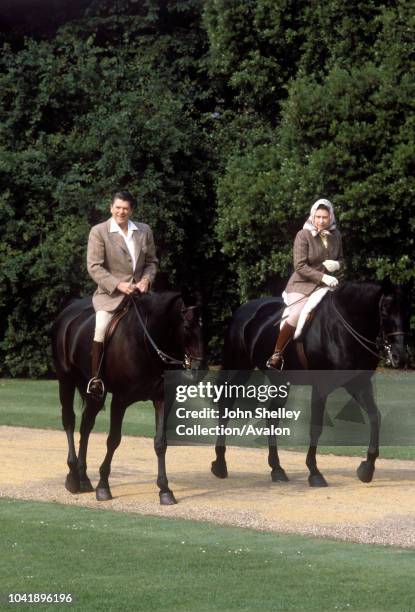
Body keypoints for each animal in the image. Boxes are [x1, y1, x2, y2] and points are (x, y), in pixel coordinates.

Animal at [52, 294, 205, 504]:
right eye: (187, 327)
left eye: (202, 325)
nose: (200, 369)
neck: (146, 344)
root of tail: (68, 311)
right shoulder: (120, 400)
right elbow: (113, 440)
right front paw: (103, 487)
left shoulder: (161, 399)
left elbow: (160, 443)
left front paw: (165, 490)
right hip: (65, 381)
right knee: (69, 421)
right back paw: (73, 477)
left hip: (95, 394)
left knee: (86, 426)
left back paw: (83, 479)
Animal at [213, 282, 412, 488]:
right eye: (386, 309)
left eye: (408, 310)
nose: (400, 356)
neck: (344, 326)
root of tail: (244, 309)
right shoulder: (321, 386)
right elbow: (316, 427)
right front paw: (314, 472)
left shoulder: (359, 384)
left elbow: (375, 417)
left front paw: (367, 469)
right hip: (240, 369)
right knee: (226, 406)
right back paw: (220, 464)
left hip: (281, 381)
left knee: (272, 417)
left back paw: (277, 469)